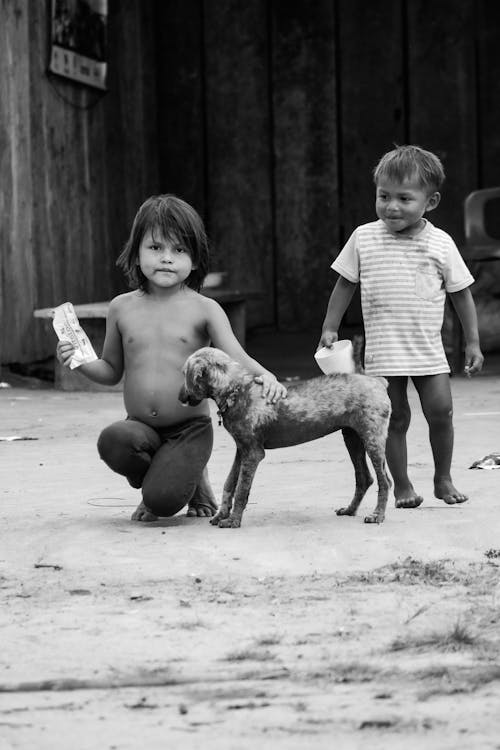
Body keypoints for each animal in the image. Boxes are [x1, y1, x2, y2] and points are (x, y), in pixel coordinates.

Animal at [178, 348, 392, 528]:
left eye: (183, 374)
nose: (179, 399)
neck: (236, 391)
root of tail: (378, 382)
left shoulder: (253, 454)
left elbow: (241, 490)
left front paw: (233, 521)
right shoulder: (241, 450)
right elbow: (230, 484)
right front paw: (222, 515)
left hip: (373, 440)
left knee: (385, 482)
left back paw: (378, 515)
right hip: (353, 439)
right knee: (364, 479)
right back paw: (350, 510)